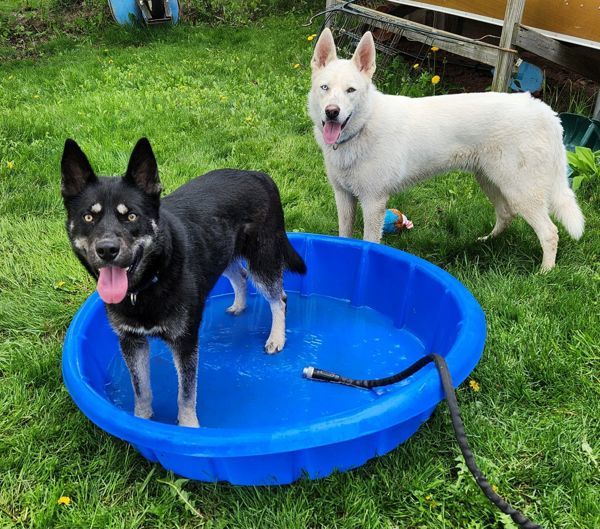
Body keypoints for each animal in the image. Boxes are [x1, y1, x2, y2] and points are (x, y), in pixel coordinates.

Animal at [62, 137, 304, 424]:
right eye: (88, 217)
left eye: (131, 216)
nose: (107, 250)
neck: (147, 284)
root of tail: (258, 175)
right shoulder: (131, 341)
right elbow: (141, 389)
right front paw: (141, 420)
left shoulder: (185, 341)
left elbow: (186, 393)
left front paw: (188, 426)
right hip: (221, 253)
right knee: (241, 275)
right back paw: (239, 305)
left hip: (262, 257)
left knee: (279, 298)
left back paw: (276, 338)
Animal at [310, 28, 584, 268]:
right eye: (325, 88)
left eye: (351, 90)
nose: (332, 112)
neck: (363, 125)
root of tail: (546, 111)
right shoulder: (344, 197)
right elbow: (344, 235)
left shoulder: (373, 202)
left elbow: (369, 242)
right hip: (491, 181)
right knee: (506, 214)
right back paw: (487, 242)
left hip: (520, 191)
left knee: (550, 232)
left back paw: (545, 272)